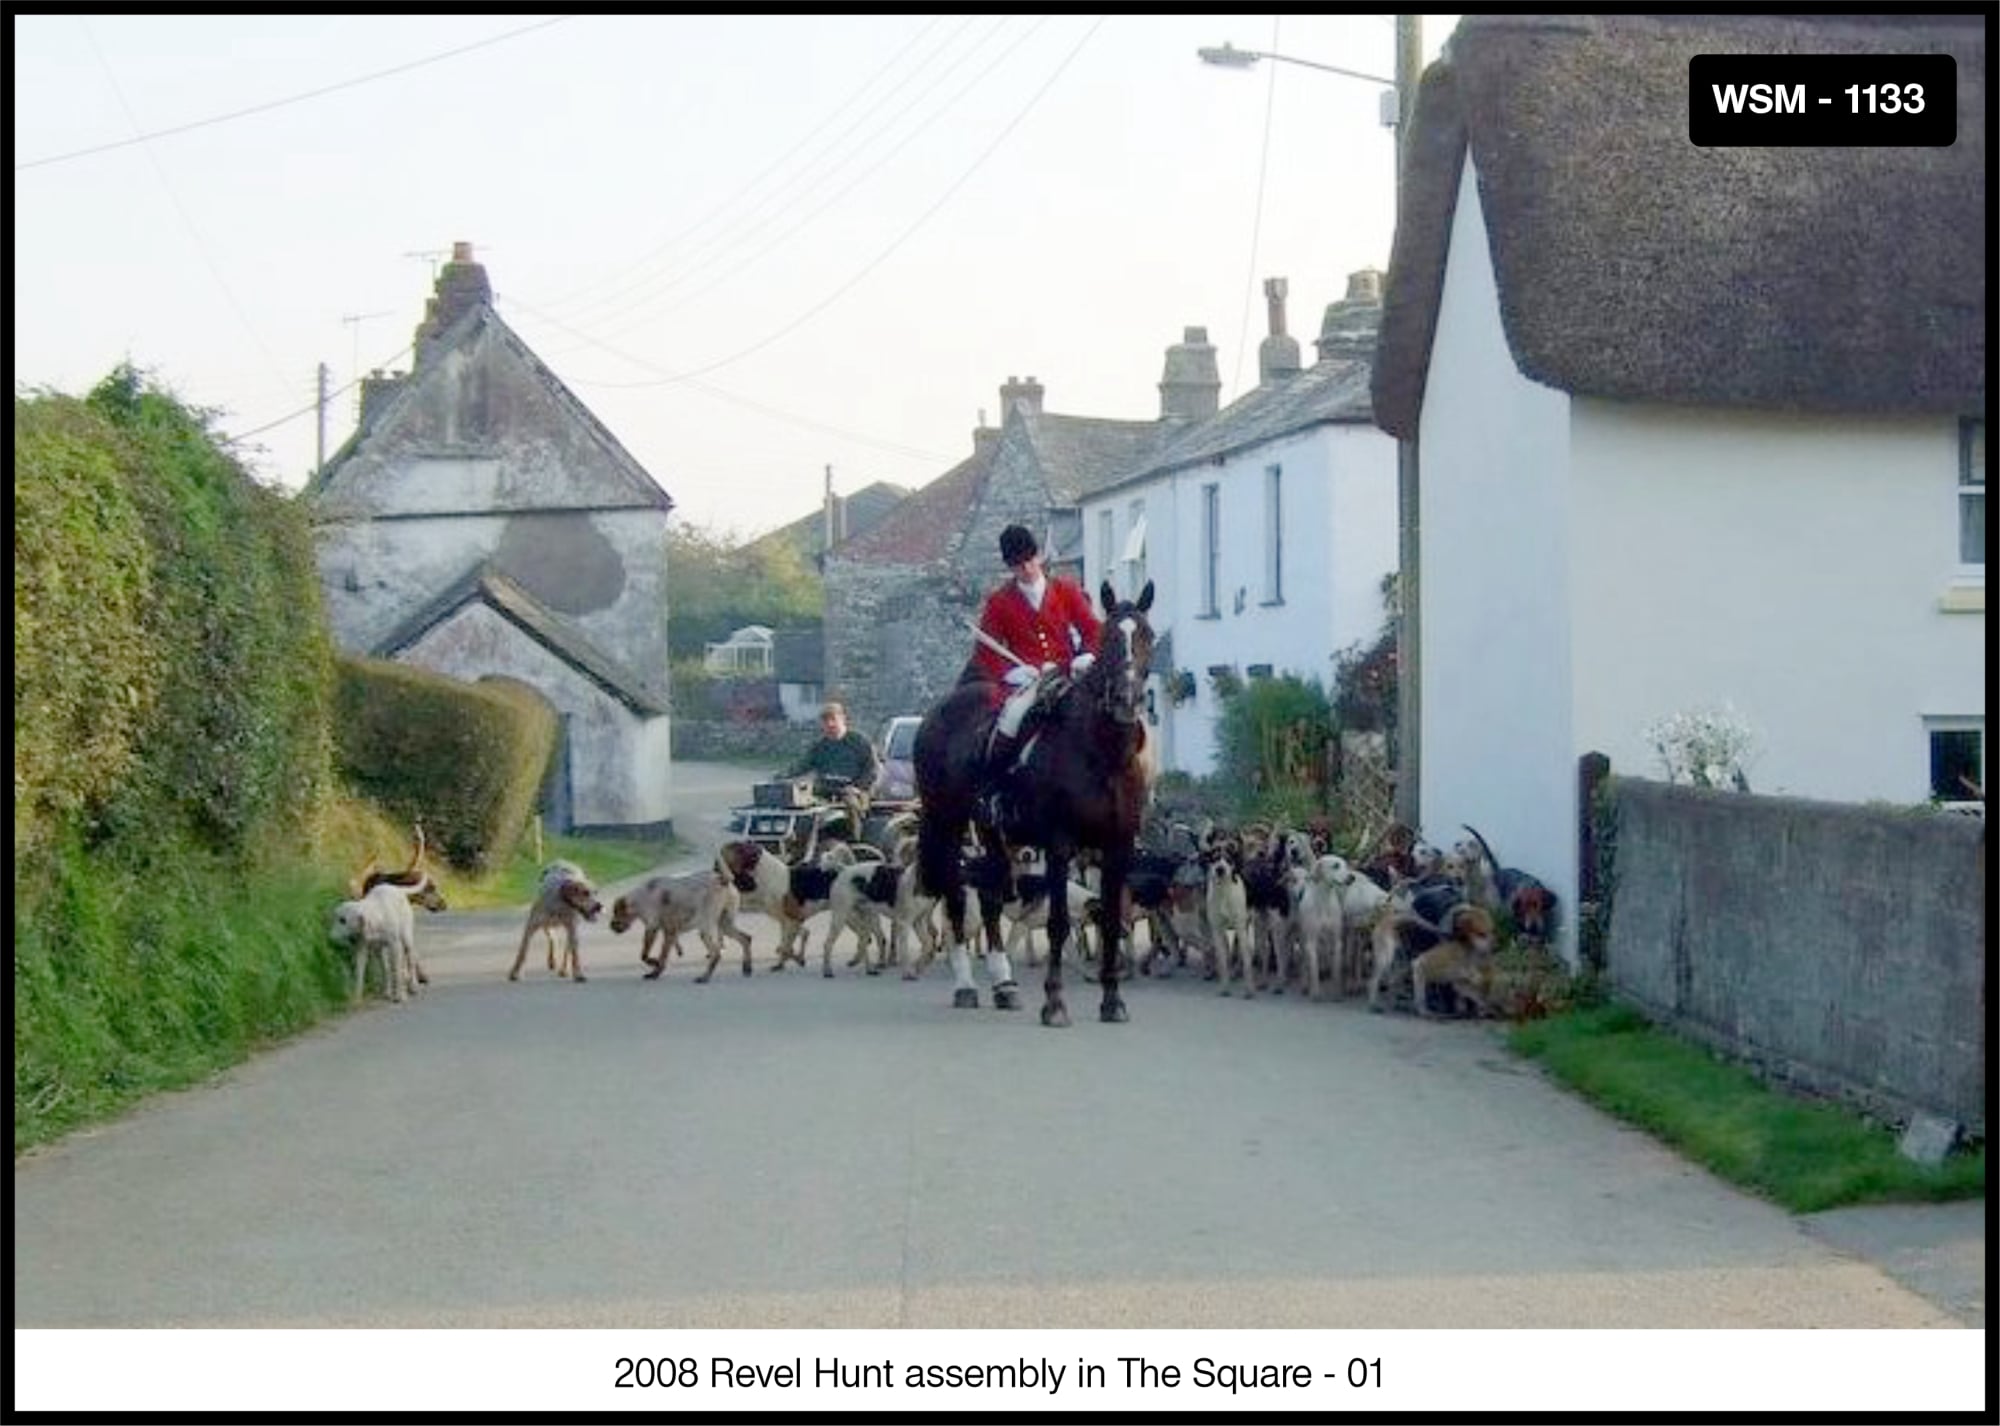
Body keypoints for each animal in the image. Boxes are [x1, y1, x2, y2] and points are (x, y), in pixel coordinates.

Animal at [912, 576, 1160, 1024]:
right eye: (1107, 638)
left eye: (1149, 636)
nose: (1127, 701)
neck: (1103, 754)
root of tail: (940, 709)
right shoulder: (1060, 844)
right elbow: (1059, 922)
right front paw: (1055, 1003)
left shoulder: (1118, 846)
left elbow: (1111, 921)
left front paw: (1112, 1001)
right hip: (946, 822)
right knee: (956, 894)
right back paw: (966, 985)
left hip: (992, 832)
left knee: (990, 895)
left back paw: (1004, 986)